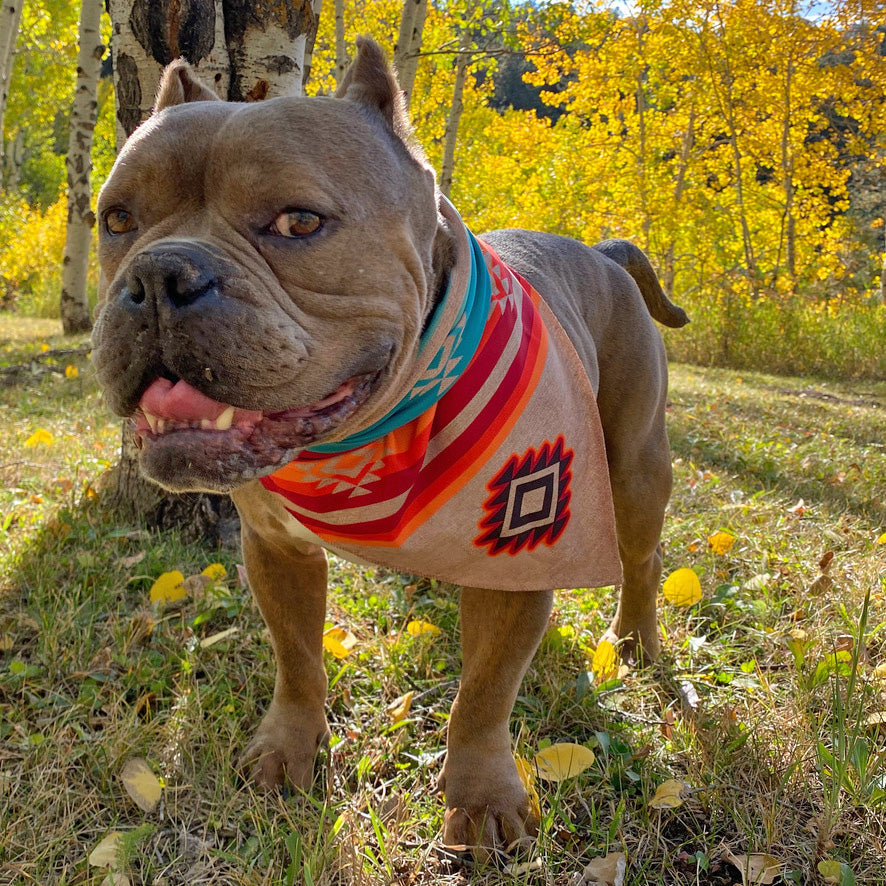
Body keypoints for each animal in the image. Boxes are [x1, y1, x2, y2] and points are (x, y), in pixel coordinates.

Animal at [92, 38, 688, 856]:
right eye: (117, 218)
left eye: (299, 221)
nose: (158, 275)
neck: (367, 437)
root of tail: (601, 252)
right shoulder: (277, 552)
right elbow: (298, 658)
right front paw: (287, 750)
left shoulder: (520, 558)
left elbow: (483, 695)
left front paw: (482, 799)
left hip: (633, 466)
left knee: (641, 557)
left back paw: (633, 641)